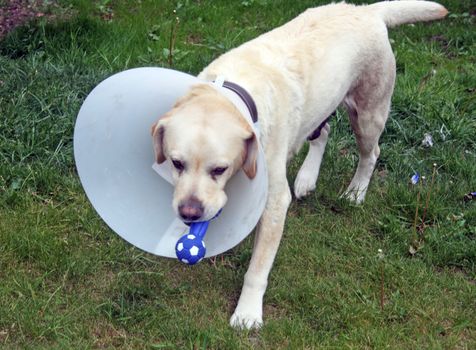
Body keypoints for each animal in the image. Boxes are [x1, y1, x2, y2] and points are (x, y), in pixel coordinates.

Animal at [152, 0, 446, 328]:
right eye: (176, 163)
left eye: (220, 169)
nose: (188, 212)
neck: (233, 92)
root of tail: (366, 10)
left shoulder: (274, 201)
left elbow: (257, 270)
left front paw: (247, 313)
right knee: (324, 131)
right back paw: (307, 177)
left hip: (368, 114)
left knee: (371, 154)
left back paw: (355, 192)